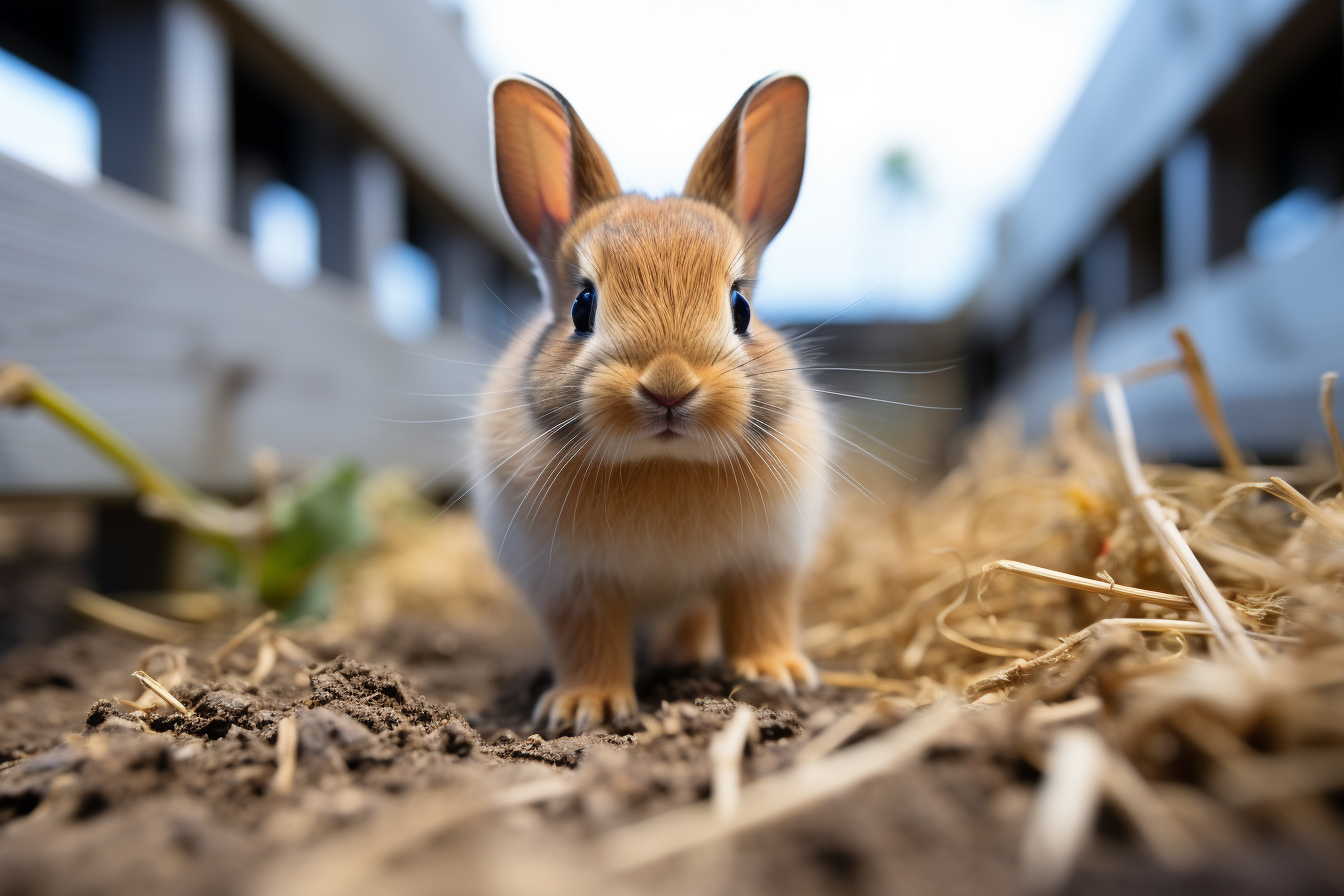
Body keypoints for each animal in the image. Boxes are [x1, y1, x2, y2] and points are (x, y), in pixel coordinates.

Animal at [473, 75, 827, 736]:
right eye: (583, 306)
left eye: (741, 307)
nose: (669, 383)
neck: (664, 463)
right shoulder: (572, 585)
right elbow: (588, 639)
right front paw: (584, 707)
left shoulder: (766, 563)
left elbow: (760, 612)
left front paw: (776, 673)